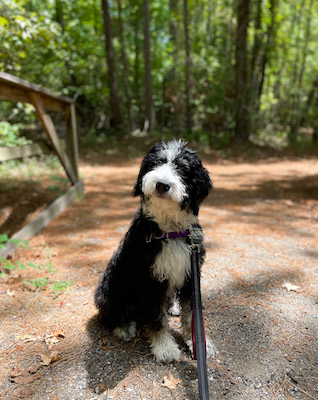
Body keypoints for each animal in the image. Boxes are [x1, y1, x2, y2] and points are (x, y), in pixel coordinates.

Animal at [94, 141, 214, 362]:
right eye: (157, 163)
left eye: (182, 169)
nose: (162, 184)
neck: (170, 230)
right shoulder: (150, 278)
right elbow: (156, 319)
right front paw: (165, 347)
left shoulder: (191, 273)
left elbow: (191, 313)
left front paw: (197, 342)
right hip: (111, 289)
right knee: (110, 315)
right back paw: (123, 327)